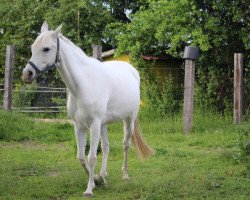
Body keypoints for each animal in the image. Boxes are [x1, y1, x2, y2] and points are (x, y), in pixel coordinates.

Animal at [22, 21, 153, 197]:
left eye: (46, 49)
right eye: (32, 47)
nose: (27, 74)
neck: (82, 84)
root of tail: (131, 69)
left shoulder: (94, 125)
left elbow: (91, 158)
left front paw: (89, 189)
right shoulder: (79, 126)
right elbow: (81, 157)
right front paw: (96, 180)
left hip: (128, 120)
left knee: (125, 145)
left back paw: (125, 175)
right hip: (104, 124)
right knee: (106, 147)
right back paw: (103, 175)